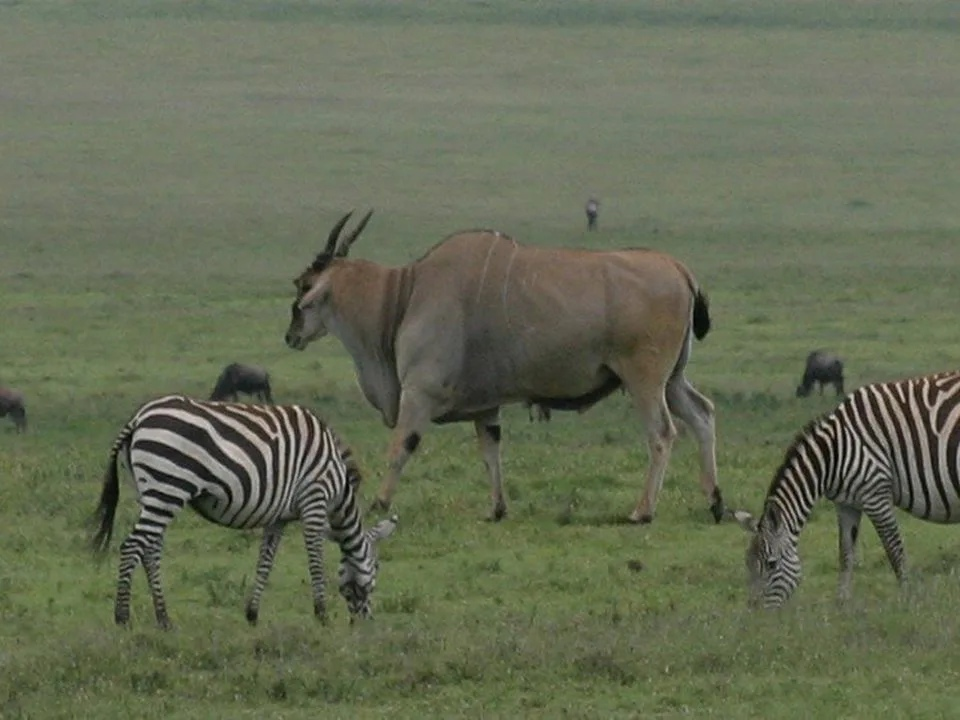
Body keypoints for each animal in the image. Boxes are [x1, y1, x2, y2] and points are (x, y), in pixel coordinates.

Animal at [92, 394, 400, 632]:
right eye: (377, 567)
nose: (365, 623)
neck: (338, 483)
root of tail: (139, 417)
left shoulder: (279, 517)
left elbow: (266, 560)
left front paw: (252, 614)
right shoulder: (315, 499)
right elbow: (315, 559)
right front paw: (322, 614)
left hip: (153, 492)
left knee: (150, 551)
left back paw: (164, 619)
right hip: (168, 487)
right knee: (132, 546)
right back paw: (122, 618)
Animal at [736, 372, 960, 608]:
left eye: (772, 564)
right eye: (748, 563)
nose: (755, 611)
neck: (833, 455)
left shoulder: (875, 494)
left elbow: (894, 550)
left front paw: (908, 598)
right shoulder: (847, 504)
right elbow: (845, 553)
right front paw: (841, 603)